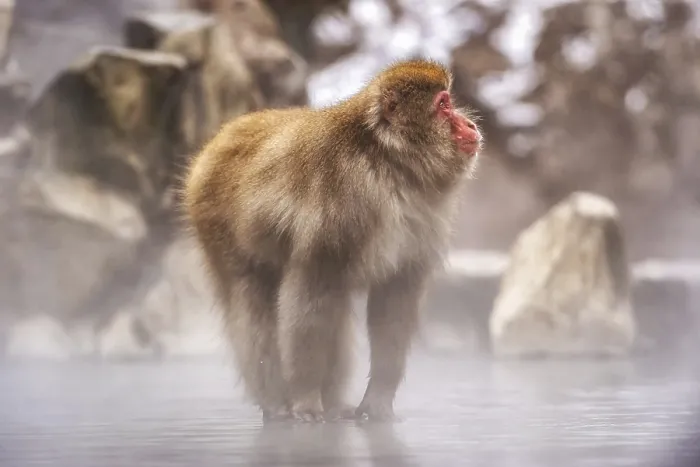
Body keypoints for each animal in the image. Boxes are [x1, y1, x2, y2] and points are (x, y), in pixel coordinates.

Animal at [182, 59, 482, 422]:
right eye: (443, 105)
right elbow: (311, 297)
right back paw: (275, 401)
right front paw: (307, 399)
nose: (469, 123)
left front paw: (378, 401)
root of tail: (215, 142)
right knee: (253, 300)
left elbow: (394, 301)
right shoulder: (338, 202)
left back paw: (334, 402)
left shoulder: (422, 220)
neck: (388, 165)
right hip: (215, 223)